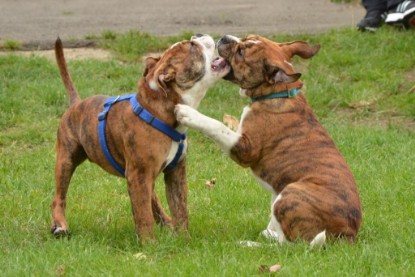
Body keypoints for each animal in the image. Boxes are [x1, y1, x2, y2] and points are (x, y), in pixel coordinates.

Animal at [52, 33, 231, 238]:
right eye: (192, 46)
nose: (198, 34)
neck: (159, 111)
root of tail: (77, 103)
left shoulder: (175, 173)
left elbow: (180, 209)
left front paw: (183, 239)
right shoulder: (139, 175)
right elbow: (143, 216)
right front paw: (148, 243)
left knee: (152, 199)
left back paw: (166, 222)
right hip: (67, 160)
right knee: (59, 196)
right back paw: (60, 225)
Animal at [174, 34, 362, 244]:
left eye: (241, 53)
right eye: (246, 38)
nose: (225, 37)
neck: (278, 91)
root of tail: (349, 233)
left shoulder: (245, 148)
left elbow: (218, 126)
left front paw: (189, 114)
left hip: (290, 193)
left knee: (291, 244)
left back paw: (250, 243)